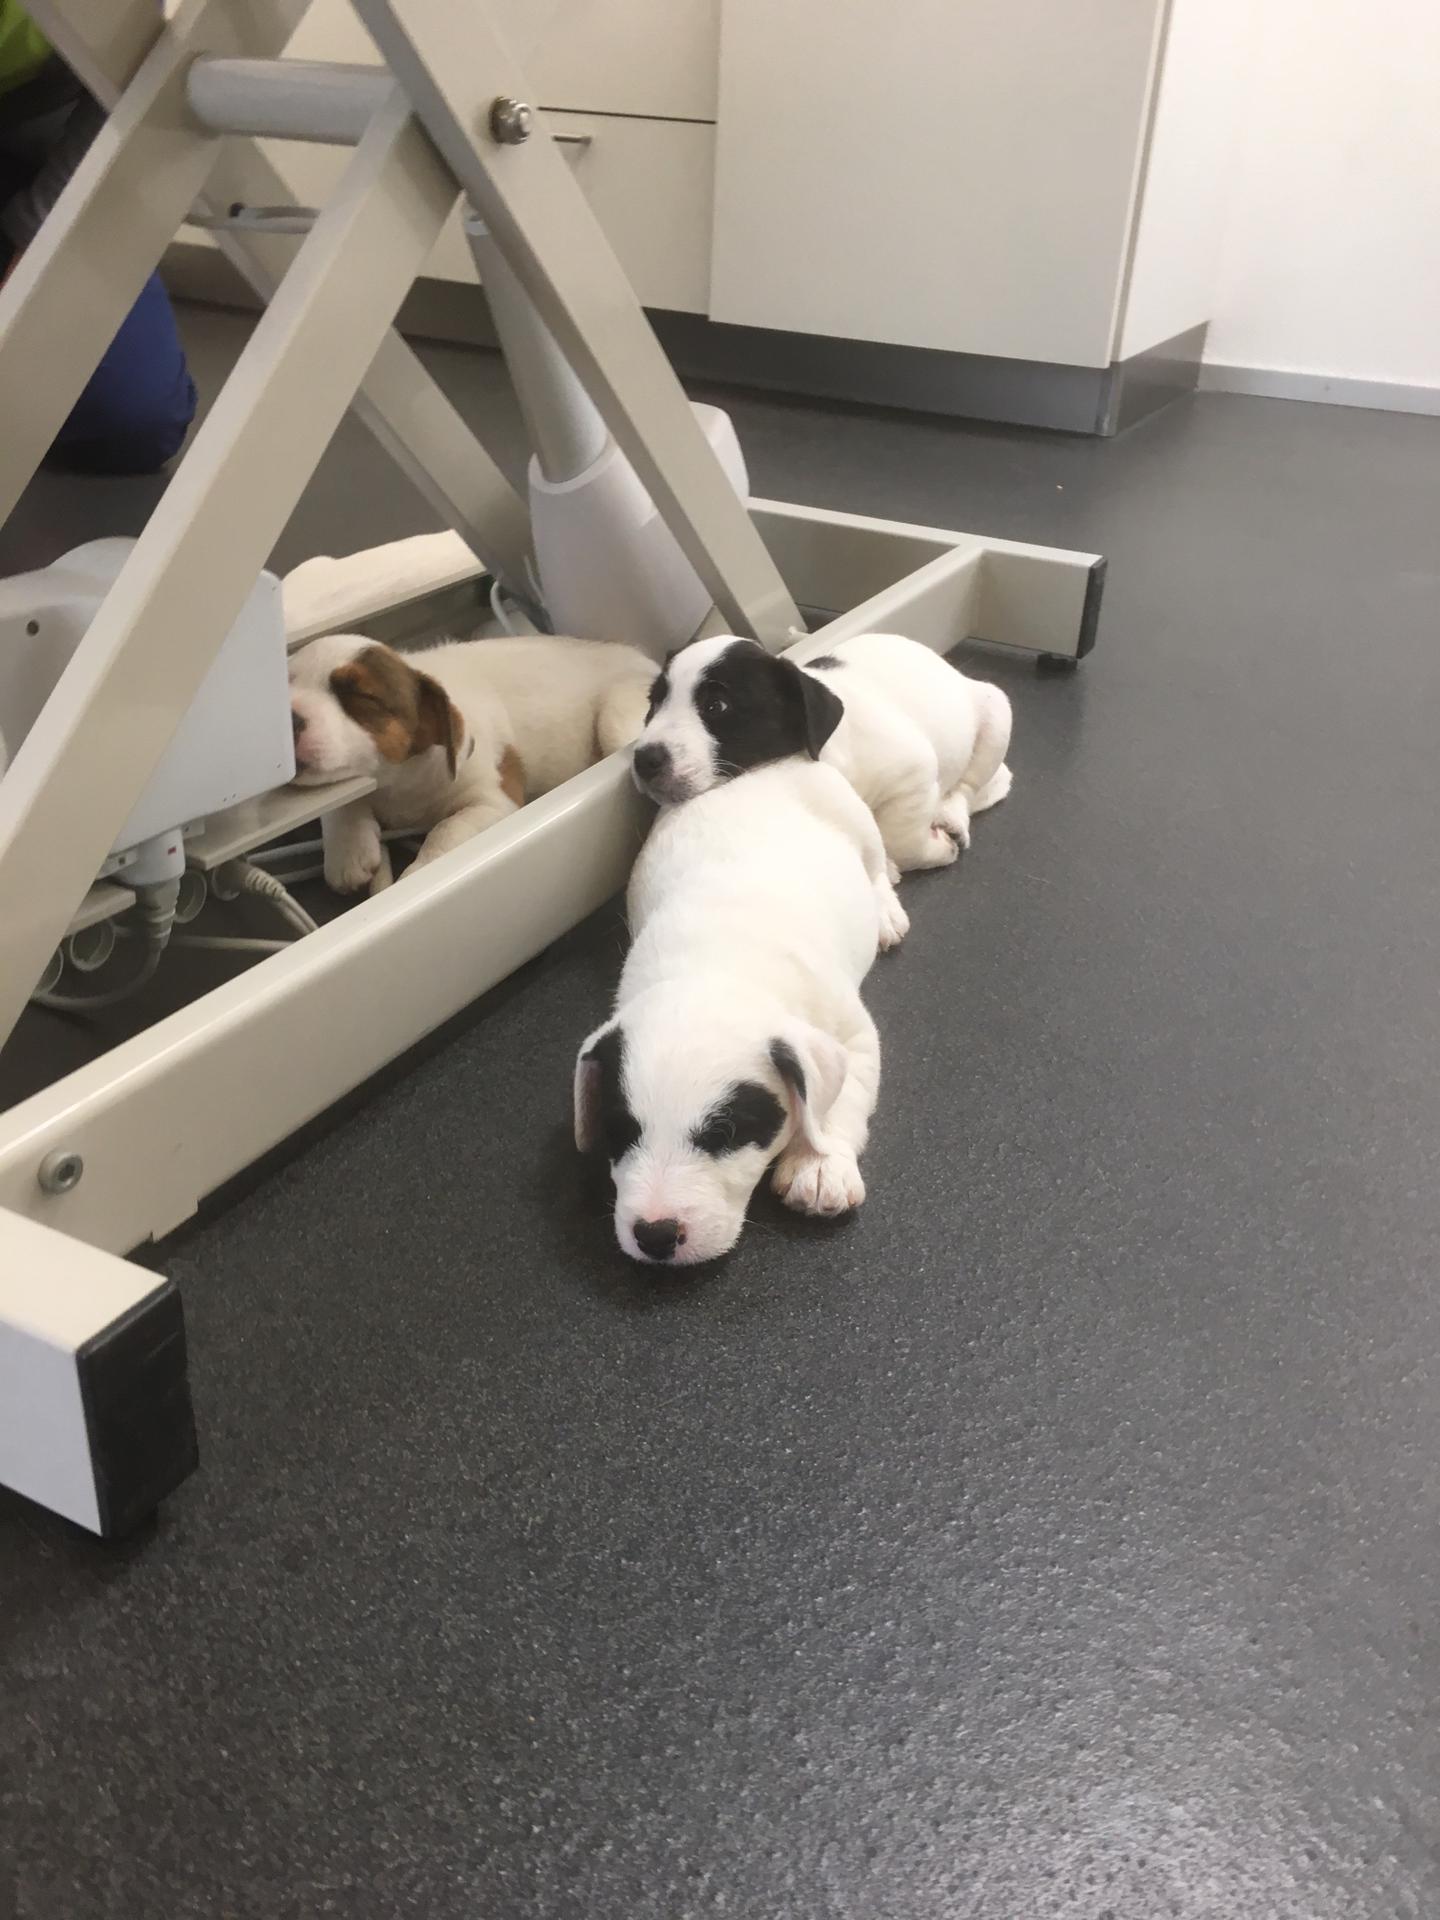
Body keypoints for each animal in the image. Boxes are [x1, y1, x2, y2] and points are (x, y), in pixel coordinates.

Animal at [288, 632, 655, 893]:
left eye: (361, 697)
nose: (288, 718)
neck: (401, 781)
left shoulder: (494, 800)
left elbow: (447, 828)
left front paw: (421, 869)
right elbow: (338, 801)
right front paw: (348, 848)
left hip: (616, 718)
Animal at [574, 758, 909, 1266]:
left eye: (724, 1134)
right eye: (619, 1129)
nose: (655, 1235)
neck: (715, 964)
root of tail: (769, 765)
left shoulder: (854, 1037)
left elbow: (839, 1100)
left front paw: (818, 1163)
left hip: (858, 822)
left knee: (874, 865)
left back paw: (886, 907)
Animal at [631, 632, 1012, 875]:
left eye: (716, 706)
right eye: (653, 702)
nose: (644, 760)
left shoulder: (913, 773)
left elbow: (901, 840)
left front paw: (933, 851)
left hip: (996, 710)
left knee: (967, 786)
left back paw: (952, 814)